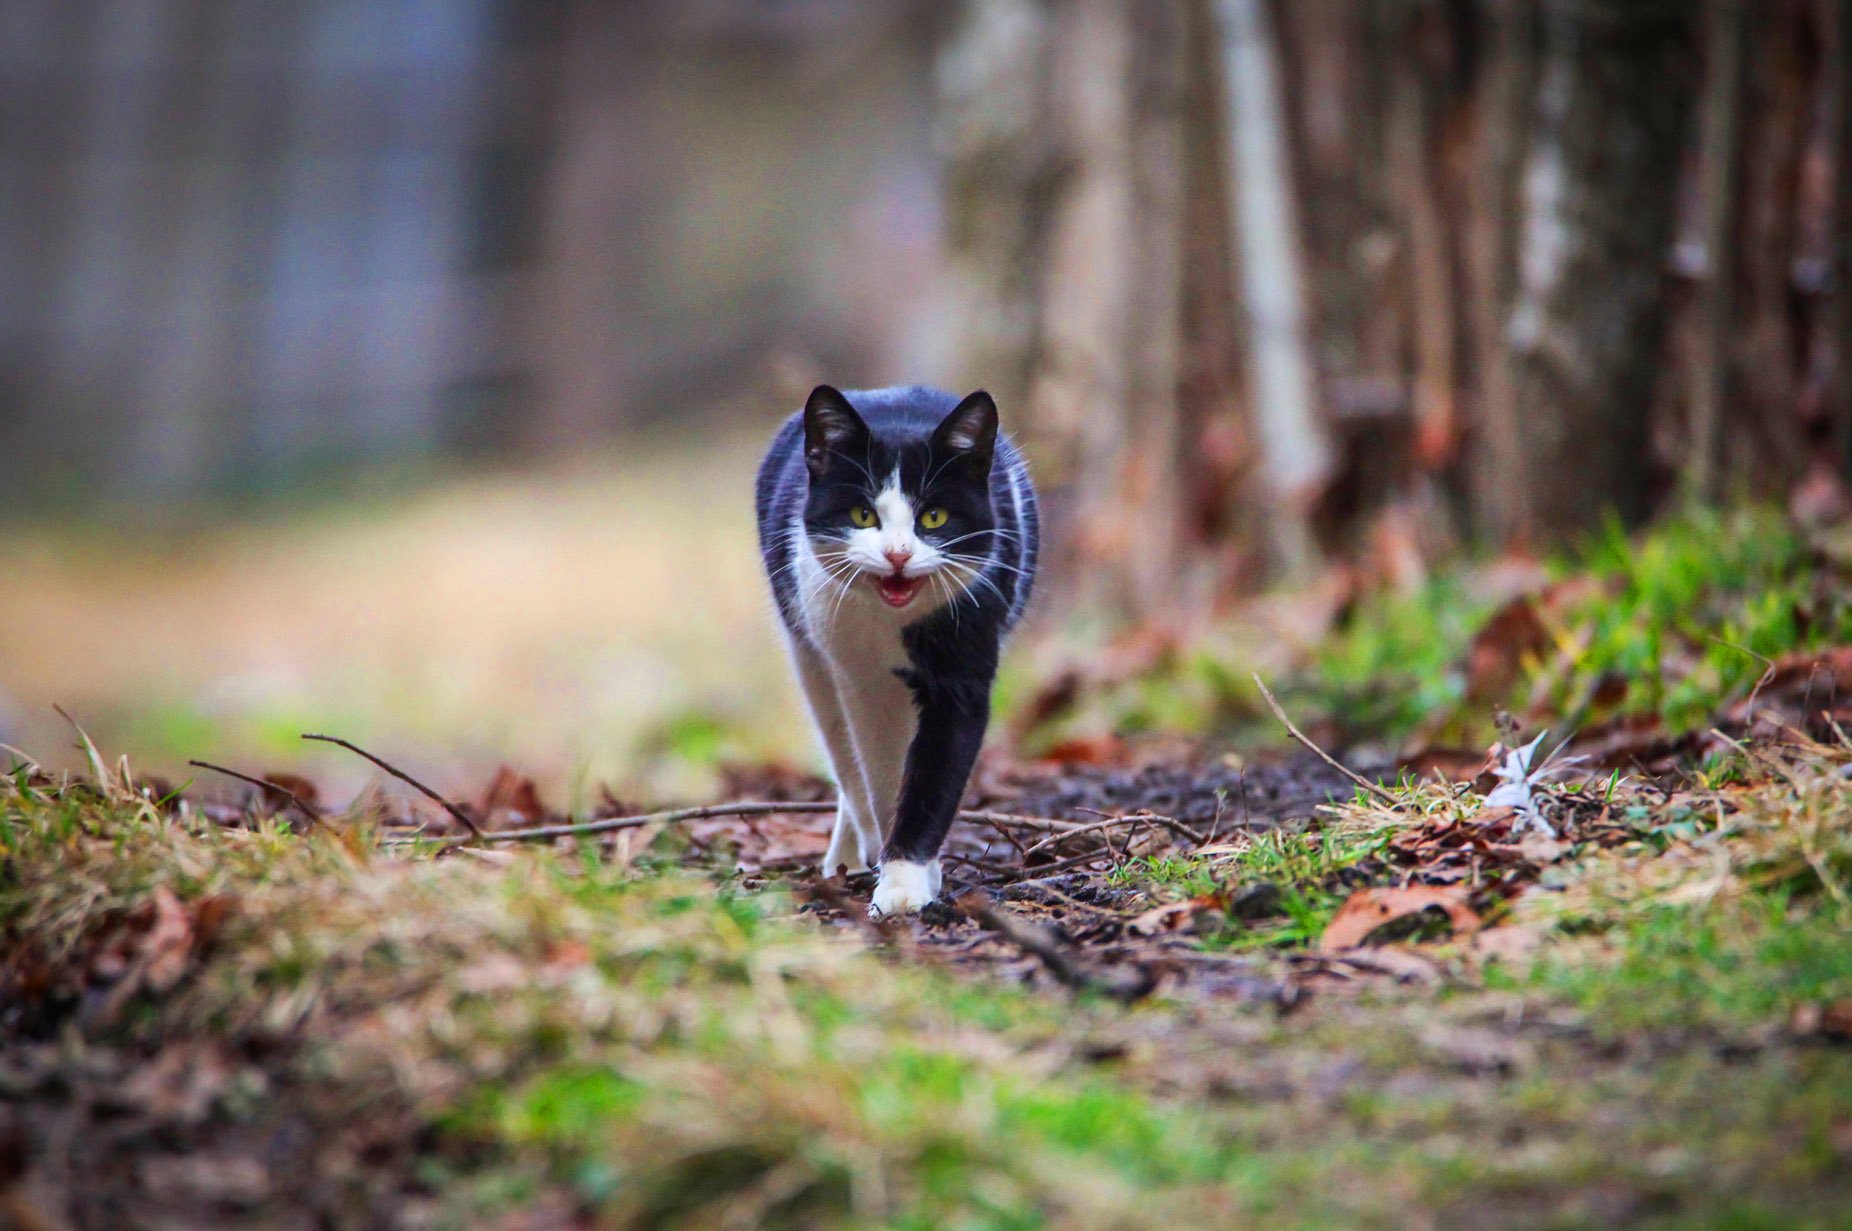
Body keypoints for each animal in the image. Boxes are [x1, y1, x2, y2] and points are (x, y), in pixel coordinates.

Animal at [751, 385, 1044, 910]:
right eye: (863, 515)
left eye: (934, 516)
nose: (898, 555)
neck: (895, 625)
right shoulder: (858, 673)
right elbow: (881, 773)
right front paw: (896, 871)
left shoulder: (965, 657)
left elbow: (934, 770)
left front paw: (907, 881)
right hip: (808, 653)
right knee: (845, 759)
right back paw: (849, 855)